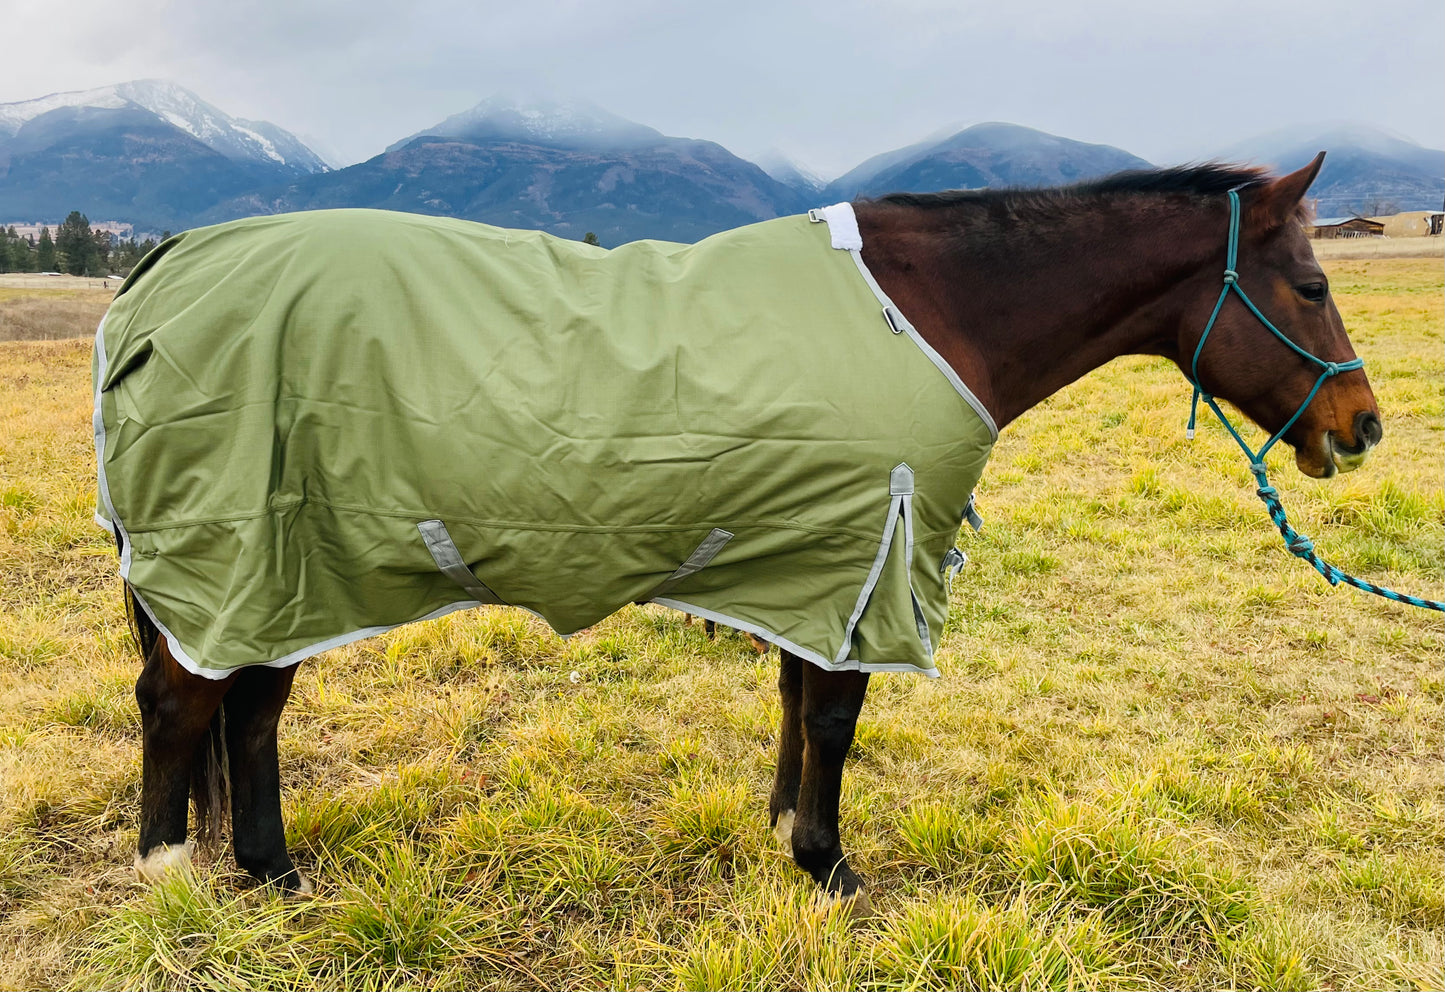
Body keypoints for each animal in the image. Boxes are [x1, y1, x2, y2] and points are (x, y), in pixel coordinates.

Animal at [109, 151, 1375, 906]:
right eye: (1310, 285)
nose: (1361, 423)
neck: (930, 312)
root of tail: (161, 265)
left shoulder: (815, 560)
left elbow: (793, 698)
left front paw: (781, 832)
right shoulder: (871, 551)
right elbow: (832, 717)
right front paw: (828, 863)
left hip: (289, 572)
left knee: (250, 710)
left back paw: (270, 867)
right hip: (238, 557)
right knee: (180, 700)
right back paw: (169, 864)